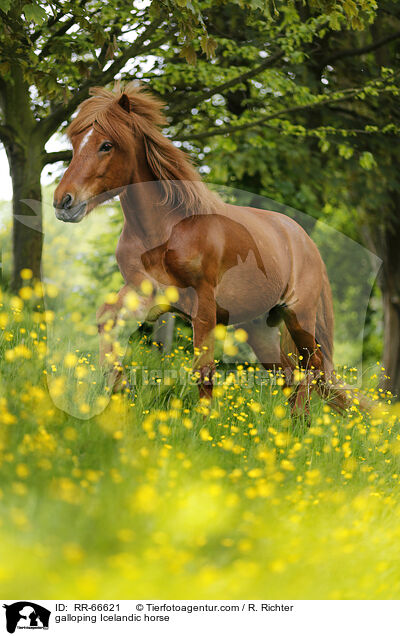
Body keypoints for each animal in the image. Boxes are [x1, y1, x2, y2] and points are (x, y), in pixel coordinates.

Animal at [54, 83, 350, 412]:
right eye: (75, 143)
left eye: (106, 145)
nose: (63, 202)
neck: (166, 231)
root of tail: (305, 241)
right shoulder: (148, 295)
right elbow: (106, 316)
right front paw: (120, 389)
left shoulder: (204, 305)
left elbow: (204, 370)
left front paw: (202, 421)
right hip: (261, 329)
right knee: (290, 374)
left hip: (300, 317)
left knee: (312, 367)